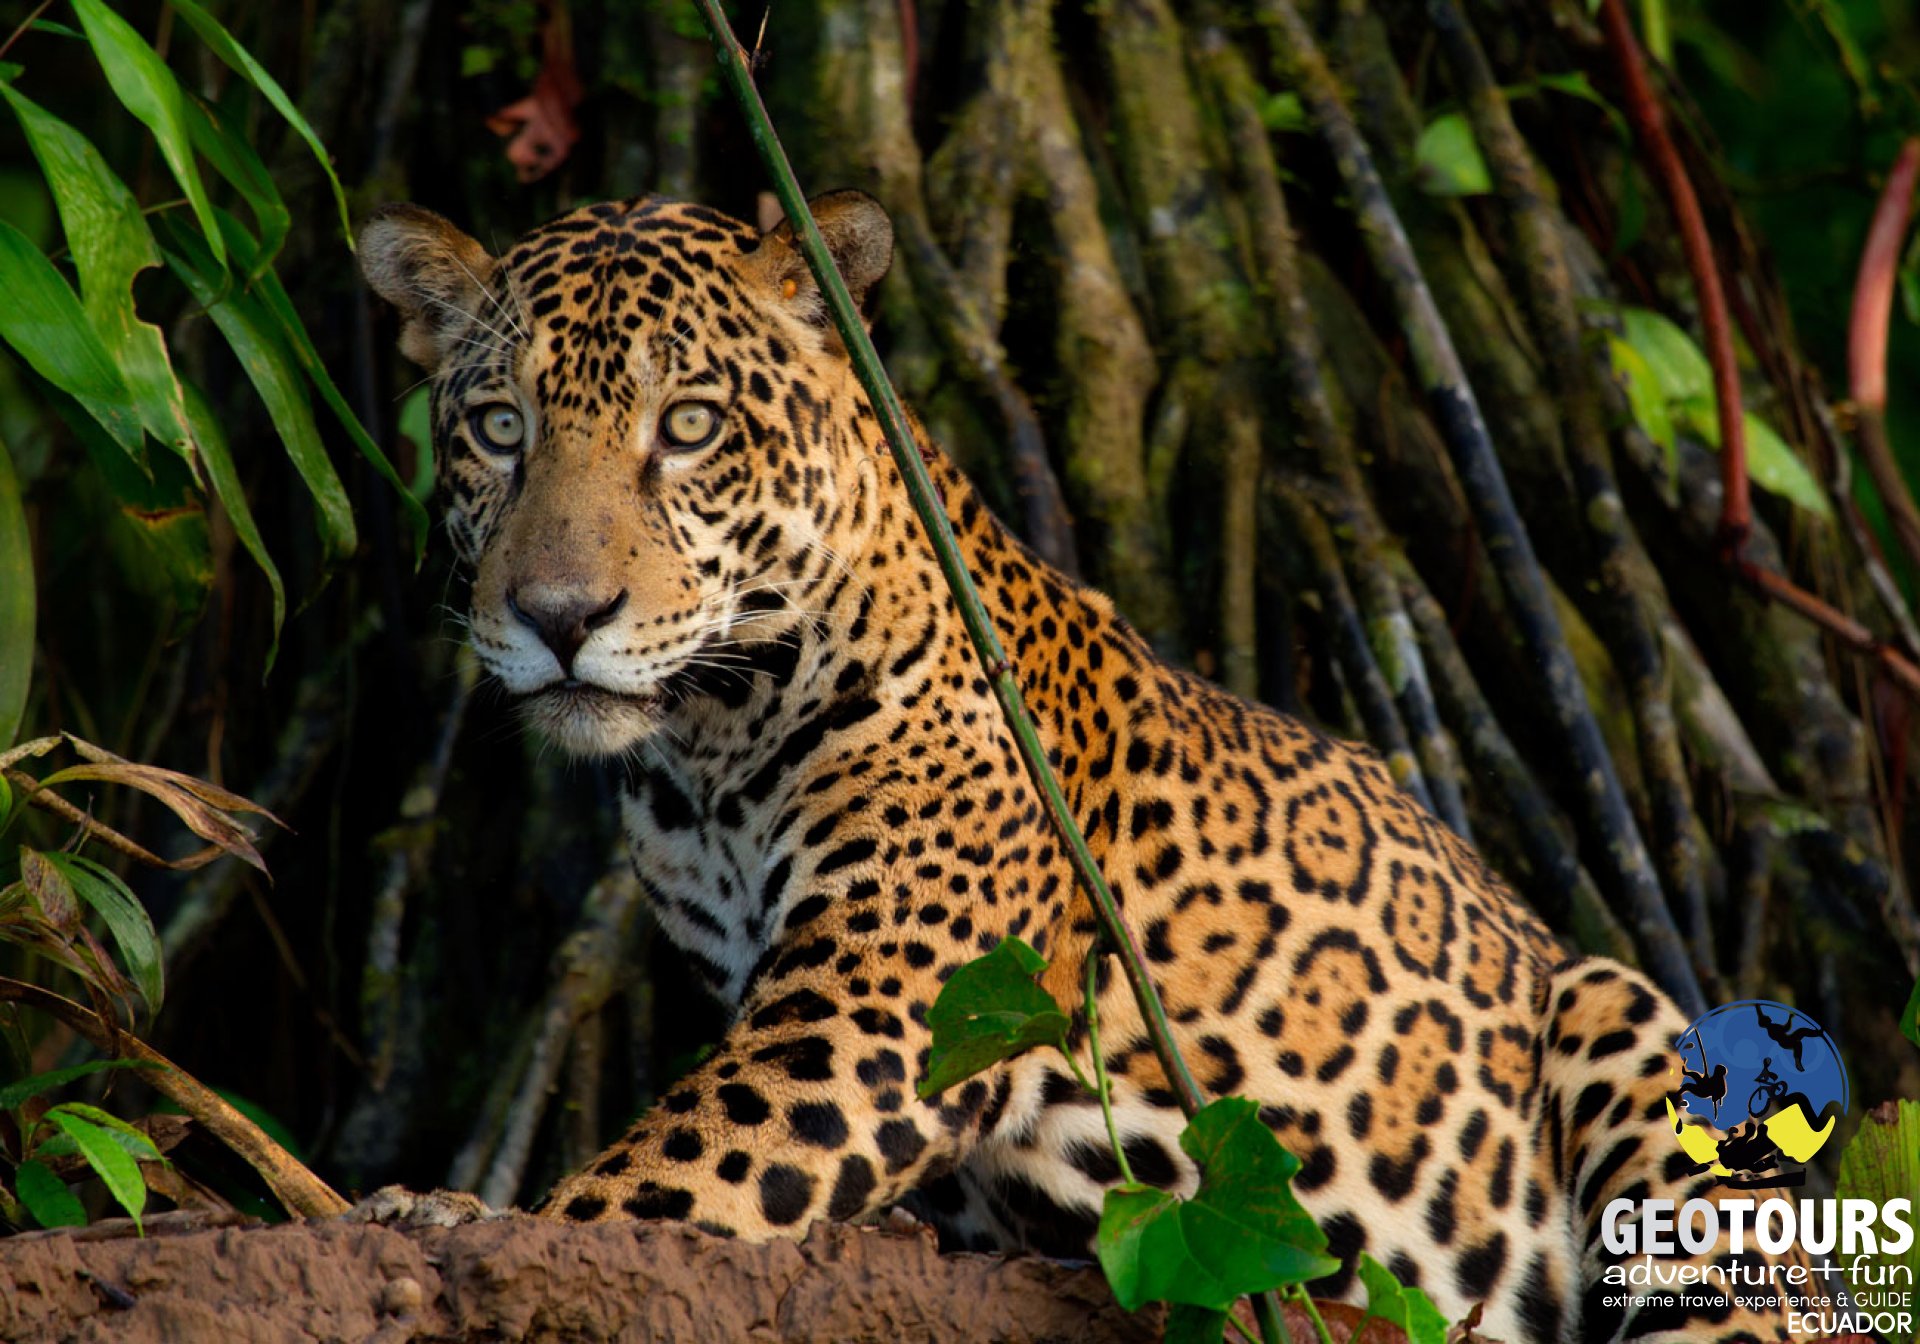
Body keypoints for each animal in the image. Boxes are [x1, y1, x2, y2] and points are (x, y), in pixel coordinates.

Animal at [359, 191, 1809, 1342]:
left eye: (692, 425)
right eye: (499, 428)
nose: (557, 614)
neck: (709, 750)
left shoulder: (877, 1008)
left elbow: (654, 1187)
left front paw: (485, 1236)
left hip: (1630, 1031)